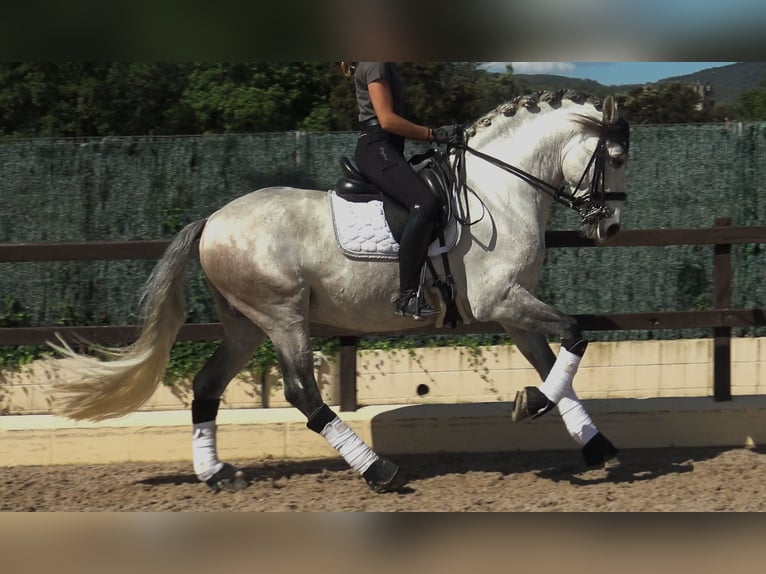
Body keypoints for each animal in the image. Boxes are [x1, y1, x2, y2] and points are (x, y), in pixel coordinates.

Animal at [52, 91, 632, 496]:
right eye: (617, 157)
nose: (610, 227)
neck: (500, 190)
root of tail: (213, 221)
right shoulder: (500, 300)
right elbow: (576, 334)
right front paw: (533, 406)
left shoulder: (512, 309)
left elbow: (556, 365)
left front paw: (591, 442)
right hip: (283, 314)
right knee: (302, 393)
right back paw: (380, 471)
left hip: (245, 324)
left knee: (207, 385)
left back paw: (216, 473)